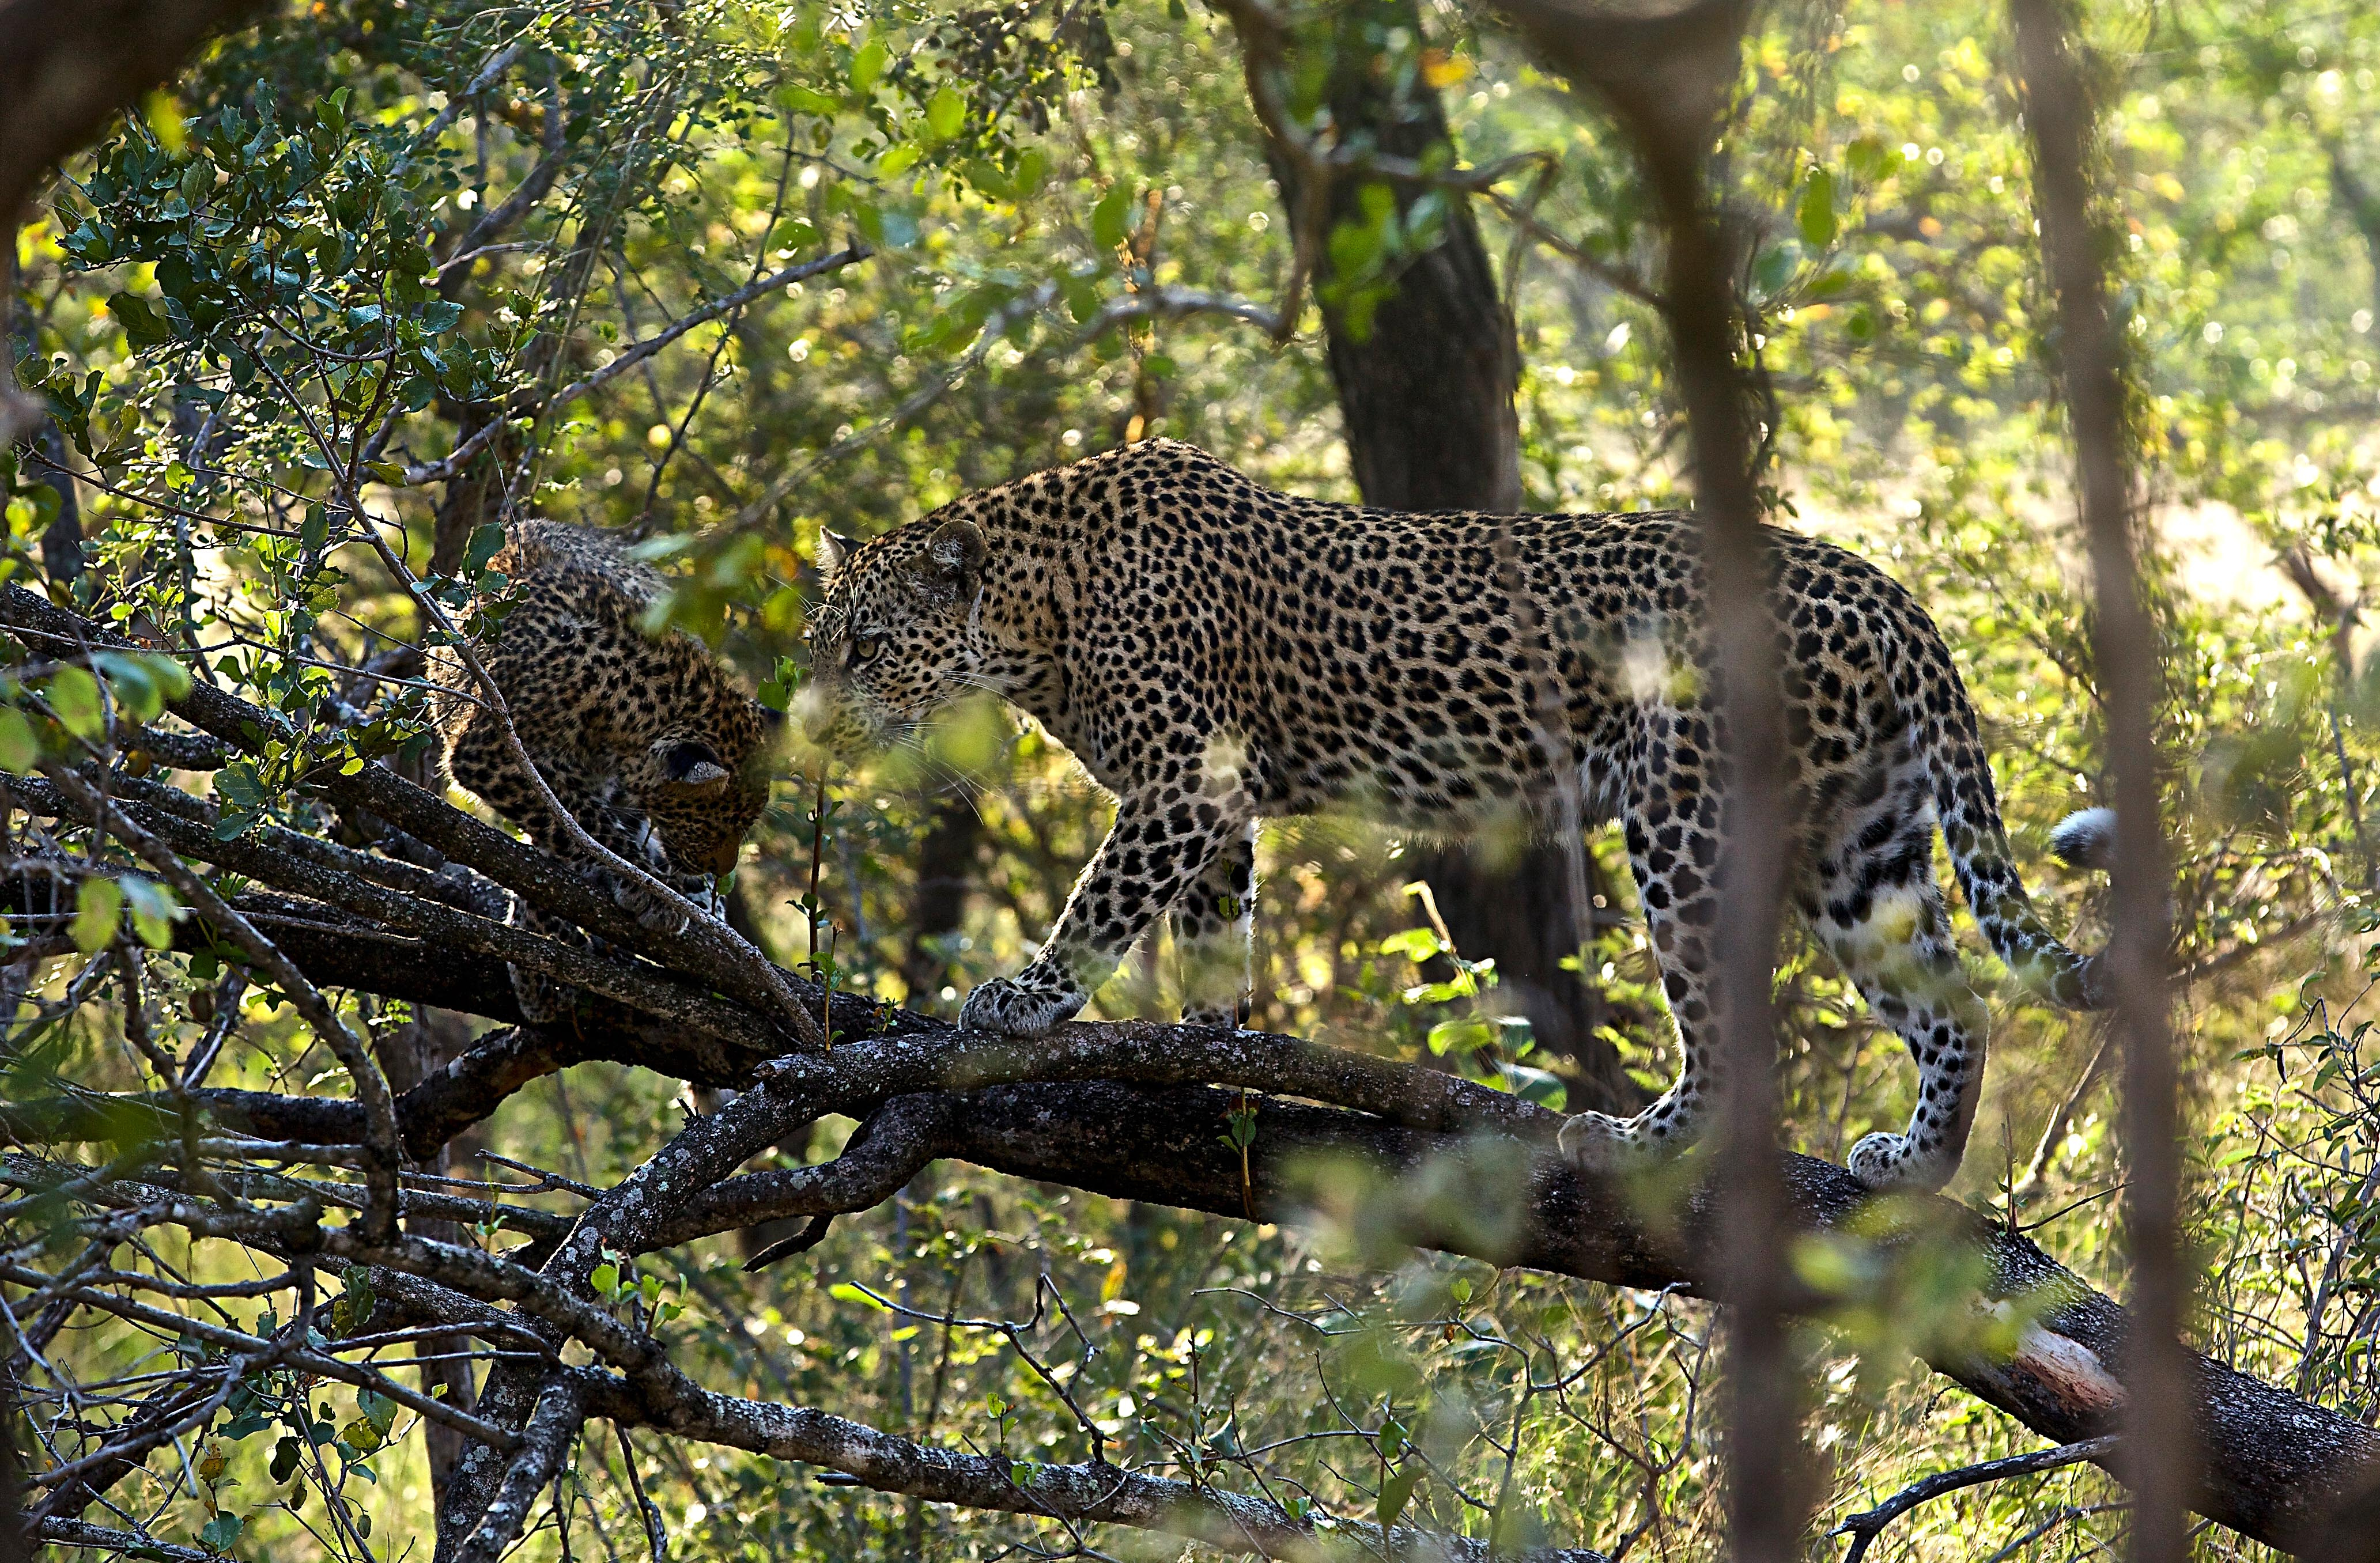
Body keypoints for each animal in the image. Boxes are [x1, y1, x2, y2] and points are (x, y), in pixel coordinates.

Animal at [802, 439, 2118, 1193]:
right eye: (822, 646)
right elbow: (1212, 936)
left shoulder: (1181, 779)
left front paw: (1022, 1000)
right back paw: (1917, 1165)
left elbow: (1100, 908)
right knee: (1953, 1004)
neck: (1036, 614)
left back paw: (1640, 1141)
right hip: (1859, 842)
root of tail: (1877, 582)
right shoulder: (1215, 809)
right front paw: (1202, 1056)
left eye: (865, 646)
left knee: (1737, 1034)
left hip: (1683, 824)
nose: (808, 725)